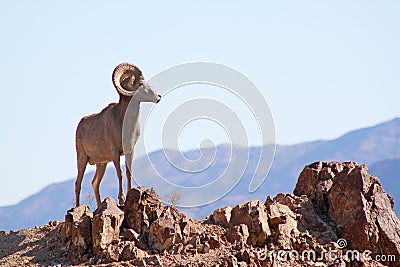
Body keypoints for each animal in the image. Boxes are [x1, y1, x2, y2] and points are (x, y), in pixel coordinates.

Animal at [74, 62, 160, 207]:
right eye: (140, 83)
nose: (158, 97)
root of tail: (79, 125)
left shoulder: (130, 151)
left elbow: (128, 173)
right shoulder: (115, 153)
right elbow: (120, 174)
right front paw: (122, 199)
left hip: (101, 164)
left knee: (95, 183)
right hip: (82, 159)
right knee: (78, 184)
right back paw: (77, 207)